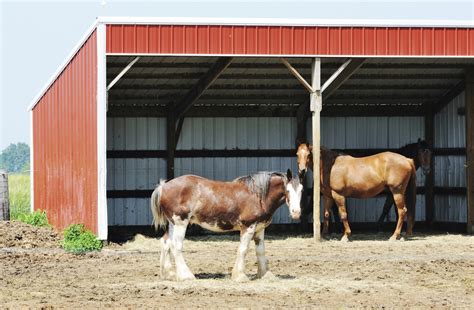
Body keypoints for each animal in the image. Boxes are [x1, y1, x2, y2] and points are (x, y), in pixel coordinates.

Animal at [150, 171, 302, 282]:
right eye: (288, 190)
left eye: (301, 190)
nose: (296, 213)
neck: (257, 195)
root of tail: (163, 186)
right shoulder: (248, 227)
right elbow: (243, 250)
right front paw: (240, 276)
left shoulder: (259, 229)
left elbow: (260, 251)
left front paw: (264, 274)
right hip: (180, 222)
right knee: (176, 246)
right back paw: (186, 275)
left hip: (172, 224)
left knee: (166, 242)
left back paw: (169, 274)